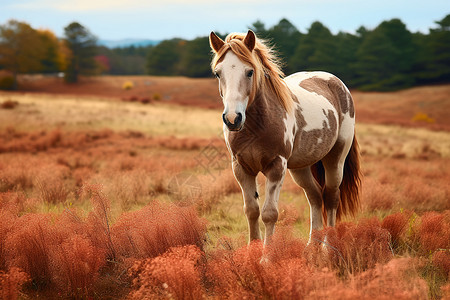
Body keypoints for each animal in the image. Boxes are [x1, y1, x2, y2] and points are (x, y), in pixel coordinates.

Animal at [210, 29, 362, 244]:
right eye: (218, 73)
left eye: (250, 71)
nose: (233, 118)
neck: (257, 126)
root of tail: (337, 84)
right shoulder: (241, 168)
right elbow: (251, 210)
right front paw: (253, 249)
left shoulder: (277, 166)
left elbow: (269, 213)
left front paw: (267, 253)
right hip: (301, 168)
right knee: (315, 196)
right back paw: (312, 246)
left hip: (335, 160)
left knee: (331, 197)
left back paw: (328, 245)